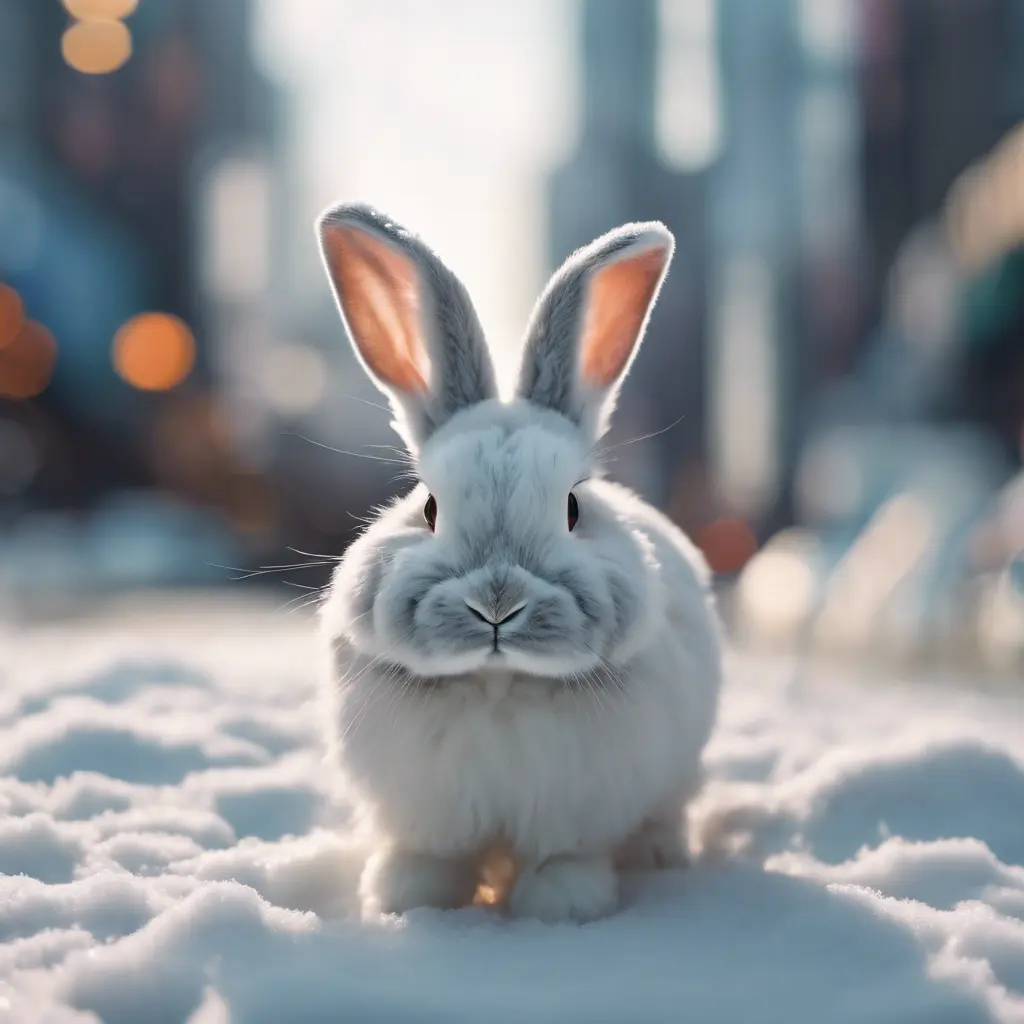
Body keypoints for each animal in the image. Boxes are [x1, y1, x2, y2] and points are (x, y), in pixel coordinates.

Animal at [315, 203, 724, 925]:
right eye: (428, 507)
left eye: (572, 508)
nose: (497, 603)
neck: (497, 683)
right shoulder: (427, 811)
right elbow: (430, 855)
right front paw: (405, 898)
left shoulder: (574, 811)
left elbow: (561, 858)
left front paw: (561, 907)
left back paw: (658, 856)